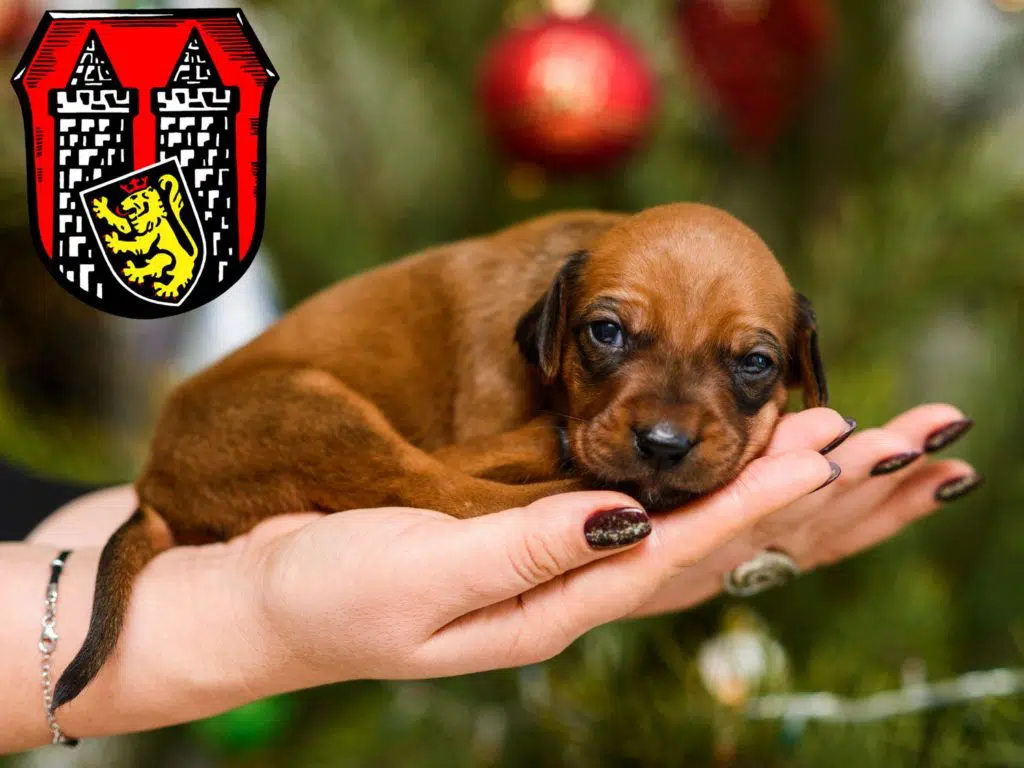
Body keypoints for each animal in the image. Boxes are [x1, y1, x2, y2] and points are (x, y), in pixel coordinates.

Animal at [54, 202, 823, 708]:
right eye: (605, 333)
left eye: (755, 363)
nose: (662, 445)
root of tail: (153, 485)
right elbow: (460, 472)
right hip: (307, 410)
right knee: (436, 485)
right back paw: (580, 487)